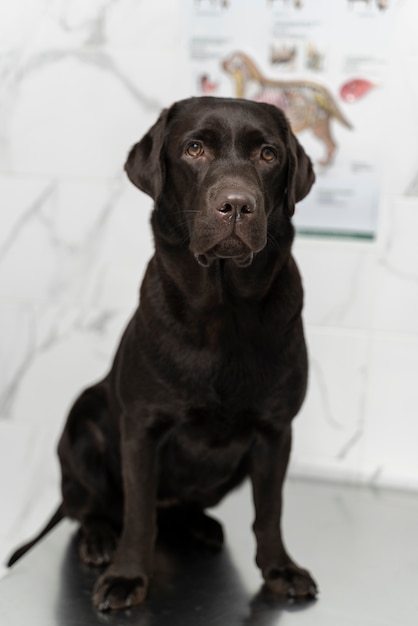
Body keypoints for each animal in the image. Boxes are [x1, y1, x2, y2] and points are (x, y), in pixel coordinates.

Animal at [9, 97, 316, 608]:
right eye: (194, 149)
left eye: (268, 155)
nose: (237, 205)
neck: (224, 311)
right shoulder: (142, 428)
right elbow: (138, 515)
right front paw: (127, 576)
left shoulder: (276, 431)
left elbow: (270, 510)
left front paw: (280, 569)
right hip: (83, 424)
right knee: (88, 505)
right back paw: (99, 539)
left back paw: (201, 526)